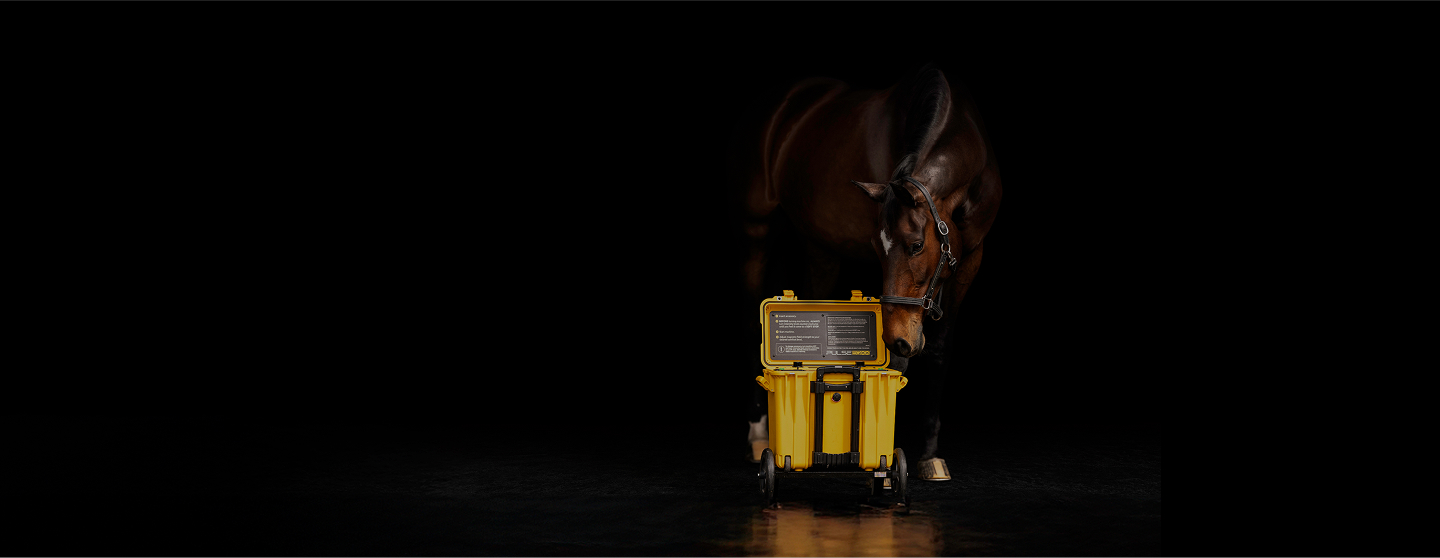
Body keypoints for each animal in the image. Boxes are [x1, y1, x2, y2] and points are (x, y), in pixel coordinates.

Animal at [737, 64, 1002, 481]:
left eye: (915, 245)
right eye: (878, 250)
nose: (898, 338)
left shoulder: (971, 260)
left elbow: (940, 349)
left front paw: (929, 454)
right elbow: (899, 364)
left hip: (821, 248)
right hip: (756, 233)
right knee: (752, 326)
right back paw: (758, 434)